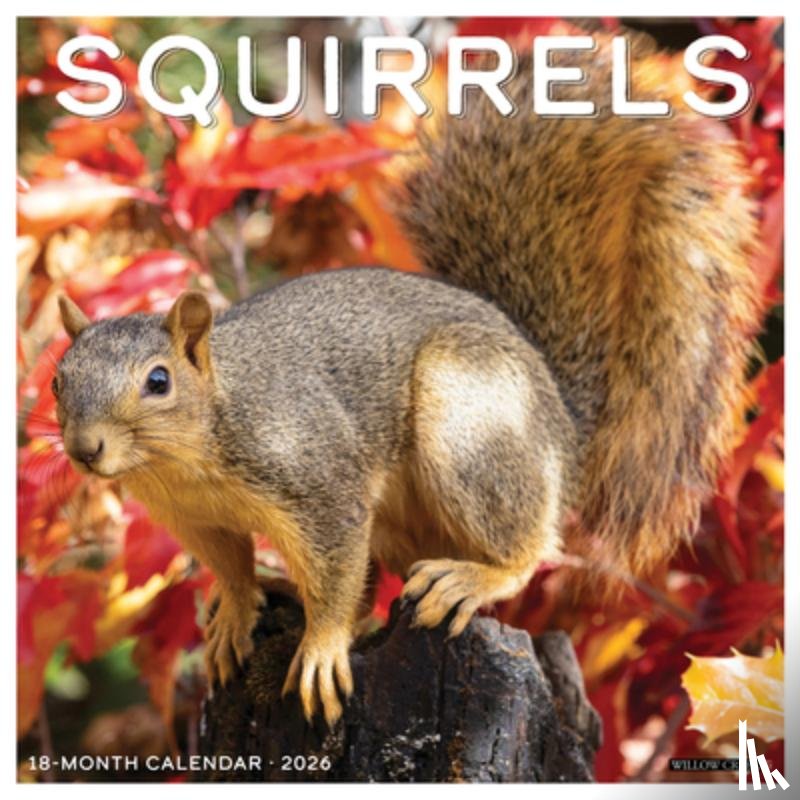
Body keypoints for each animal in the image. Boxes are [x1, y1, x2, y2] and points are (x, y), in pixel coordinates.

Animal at [53, 35, 761, 727]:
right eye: (59, 380)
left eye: (159, 381)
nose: (85, 449)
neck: (190, 457)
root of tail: (561, 421)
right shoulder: (196, 518)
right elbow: (231, 567)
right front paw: (235, 611)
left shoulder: (319, 482)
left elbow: (335, 573)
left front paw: (321, 650)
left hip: (469, 423)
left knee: (530, 544)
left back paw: (472, 579)